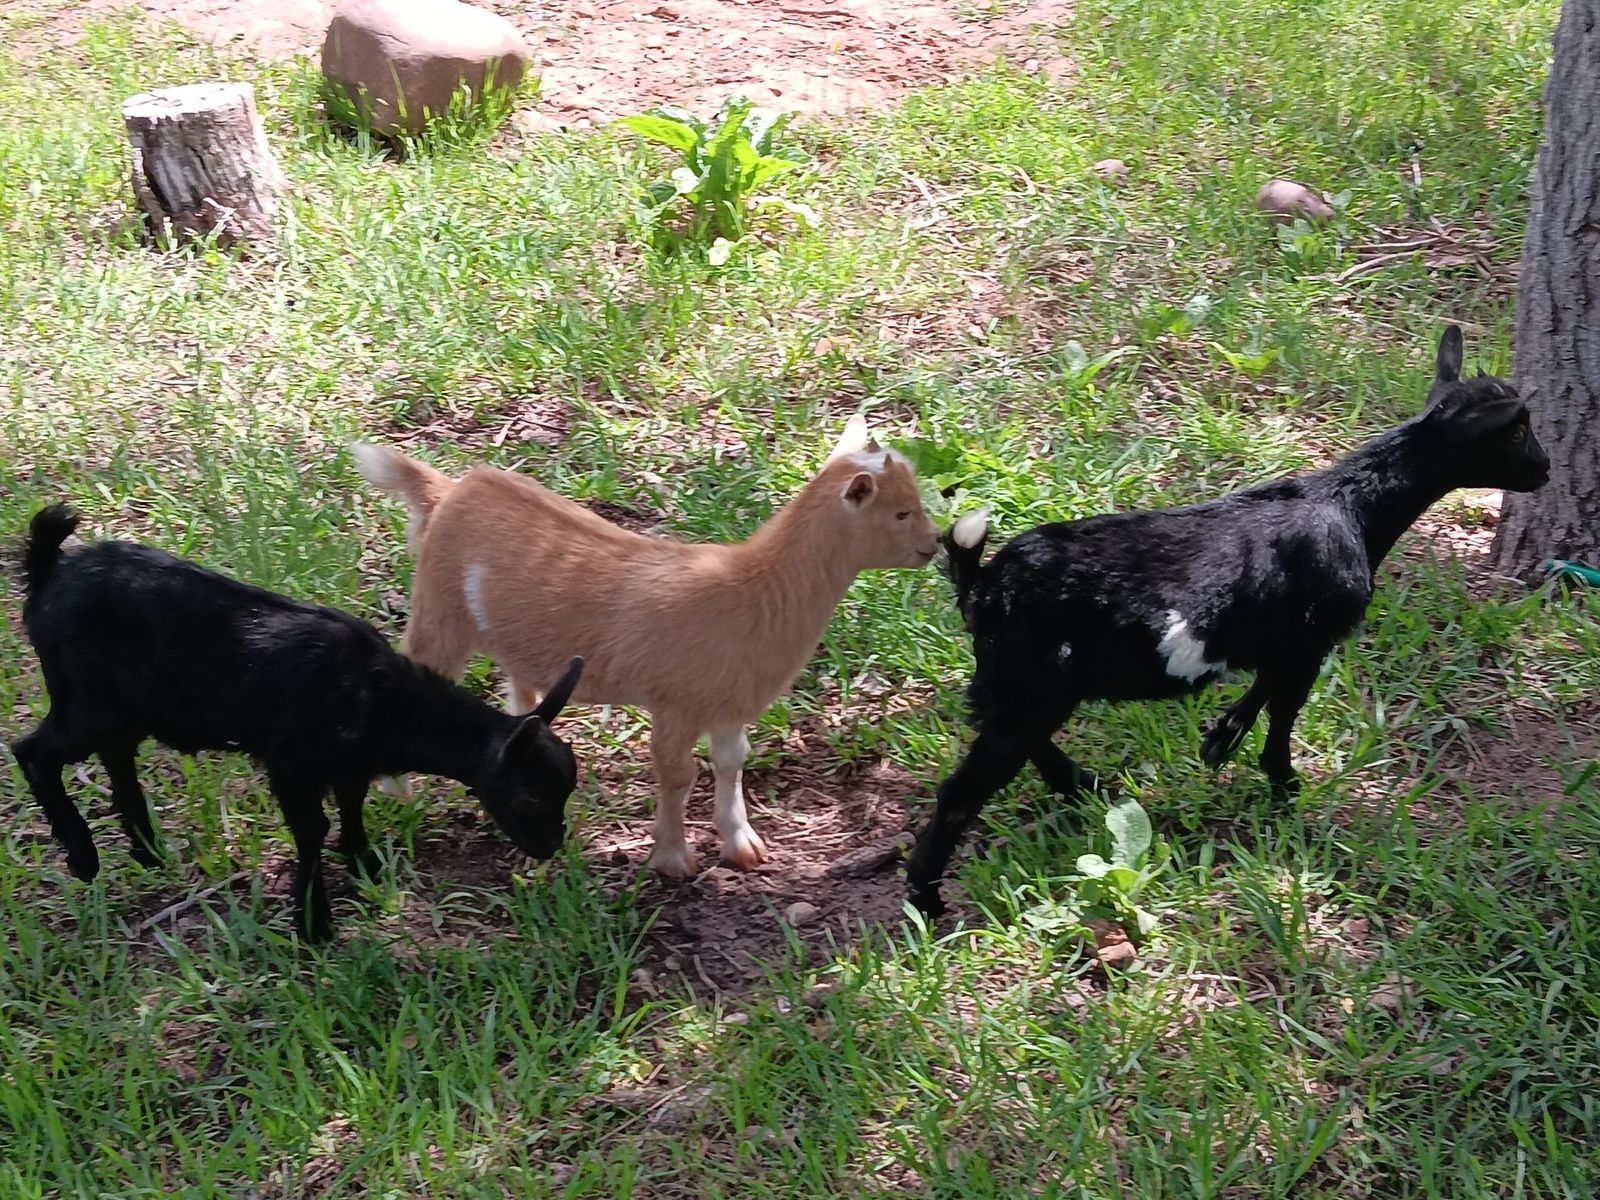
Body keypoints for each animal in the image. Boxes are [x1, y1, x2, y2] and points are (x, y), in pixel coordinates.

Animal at [8, 505, 584, 941]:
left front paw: (364, 864)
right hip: (85, 700)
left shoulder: (348, 766)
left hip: (123, 708)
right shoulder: (290, 763)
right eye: (531, 797)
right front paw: (313, 921)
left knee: (116, 757)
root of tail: (48, 569)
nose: (551, 846)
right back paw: (84, 856)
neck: (383, 700)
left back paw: (146, 850)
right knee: (32, 752)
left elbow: (351, 807)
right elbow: (313, 830)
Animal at [352, 415, 941, 876]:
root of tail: (447, 490)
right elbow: (679, 775)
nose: (934, 545)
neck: (752, 589)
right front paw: (674, 861)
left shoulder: (730, 703)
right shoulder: (675, 704)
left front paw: (741, 844)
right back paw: (397, 790)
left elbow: (731, 762)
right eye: (901, 513)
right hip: (440, 609)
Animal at [907, 326, 1550, 915]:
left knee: (1015, 739)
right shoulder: (1311, 641)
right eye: (1517, 429)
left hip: (1030, 687)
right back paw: (927, 900)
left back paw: (1085, 788)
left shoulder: (1284, 640)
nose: (1545, 470)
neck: (1353, 505)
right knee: (961, 791)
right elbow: (1284, 711)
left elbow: (1261, 687)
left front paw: (1222, 738)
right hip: (1033, 684)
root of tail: (982, 585)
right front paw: (1285, 790)